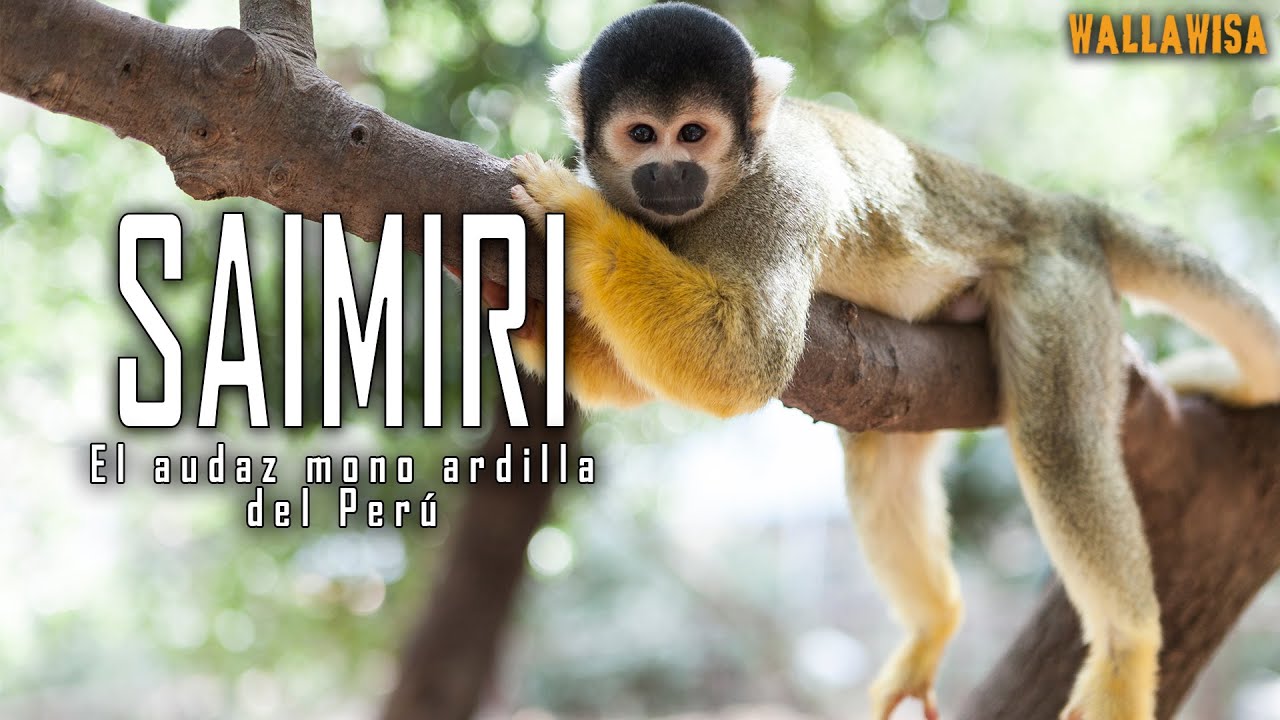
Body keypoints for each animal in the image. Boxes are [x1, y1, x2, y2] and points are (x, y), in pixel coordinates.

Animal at [500, 4, 1280, 719]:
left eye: (693, 133)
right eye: (642, 135)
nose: (667, 174)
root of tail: (1056, 207)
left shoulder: (778, 193)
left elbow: (743, 360)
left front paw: (576, 216)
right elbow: (635, 379)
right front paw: (524, 315)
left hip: (1054, 278)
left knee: (1059, 441)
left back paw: (1127, 648)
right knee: (882, 442)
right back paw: (935, 621)